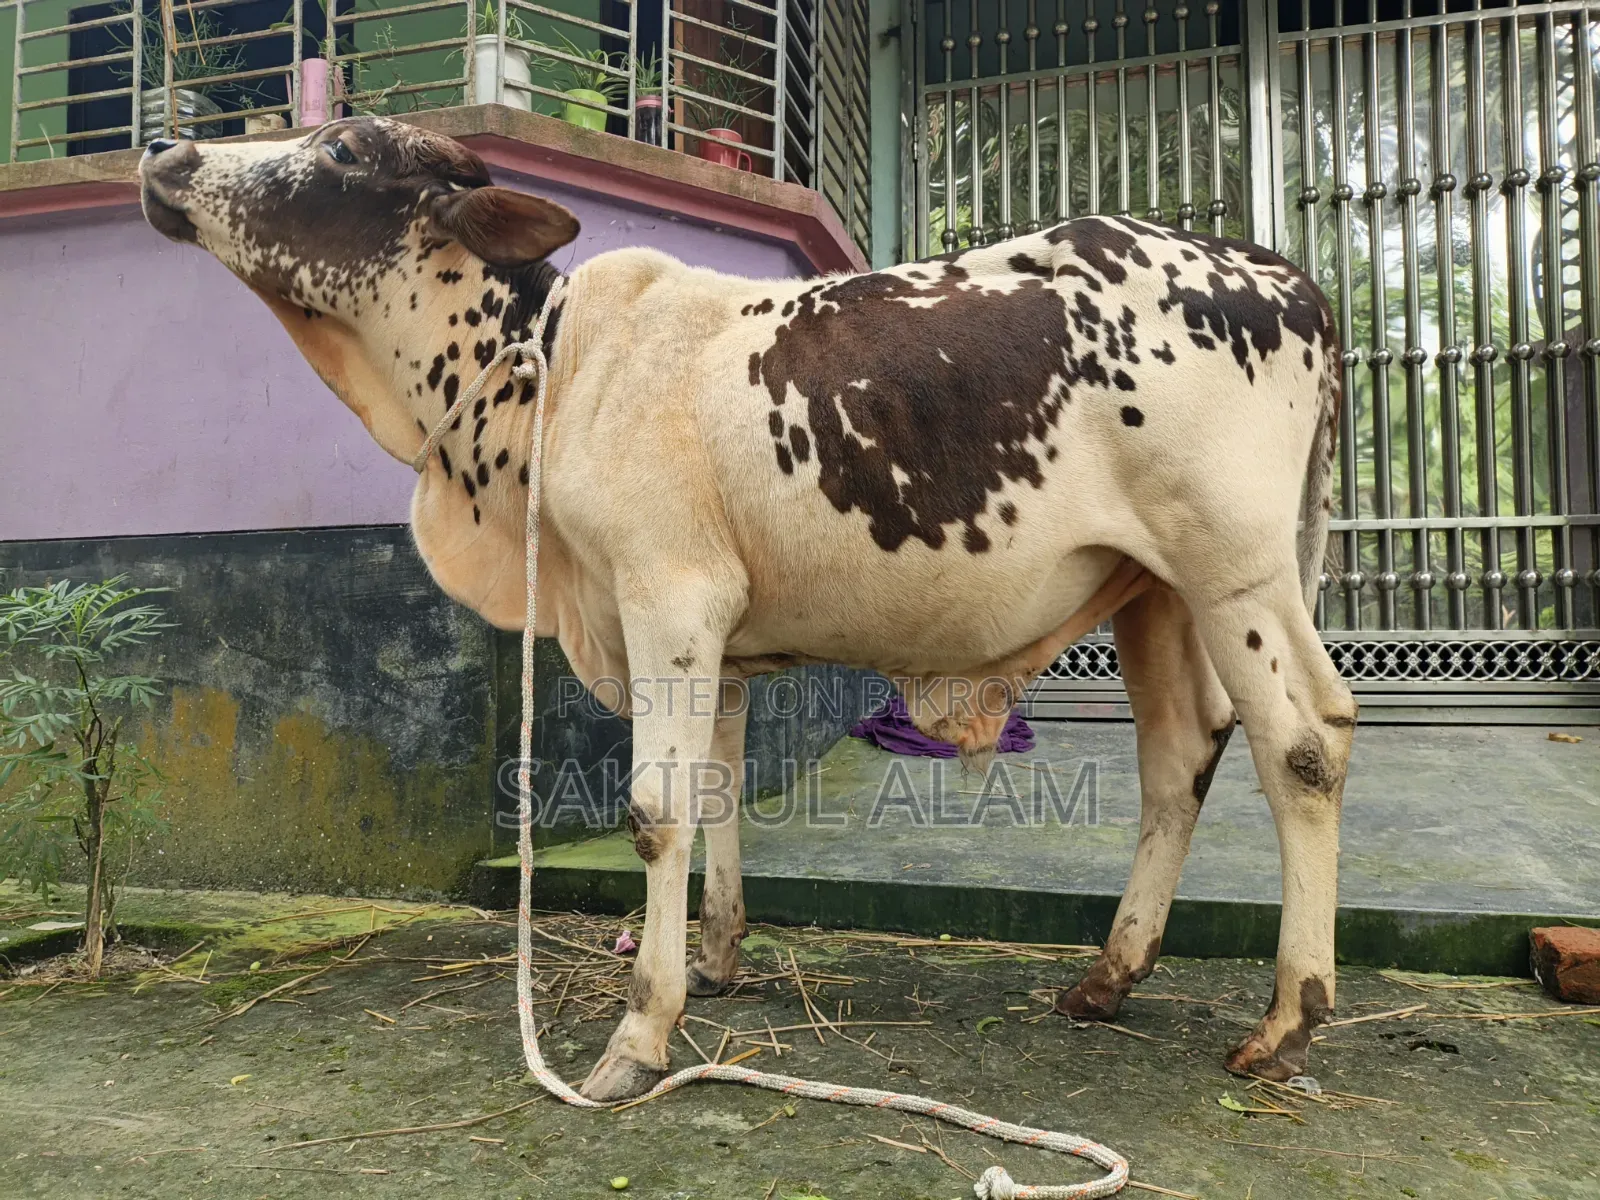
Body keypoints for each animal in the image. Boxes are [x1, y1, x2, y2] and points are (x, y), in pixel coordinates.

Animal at [139, 117, 1356, 1102]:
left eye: (343, 148)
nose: (166, 153)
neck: (545, 374)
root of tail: (1285, 278)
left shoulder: (666, 597)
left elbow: (656, 809)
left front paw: (639, 1036)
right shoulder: (713, 644)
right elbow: (717, 792)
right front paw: (717, 962)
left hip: (1235, 570)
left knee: (1305, 742)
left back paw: (1287, 1021)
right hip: (1154, 591)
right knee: (1179, 757)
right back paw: (1110, 976)